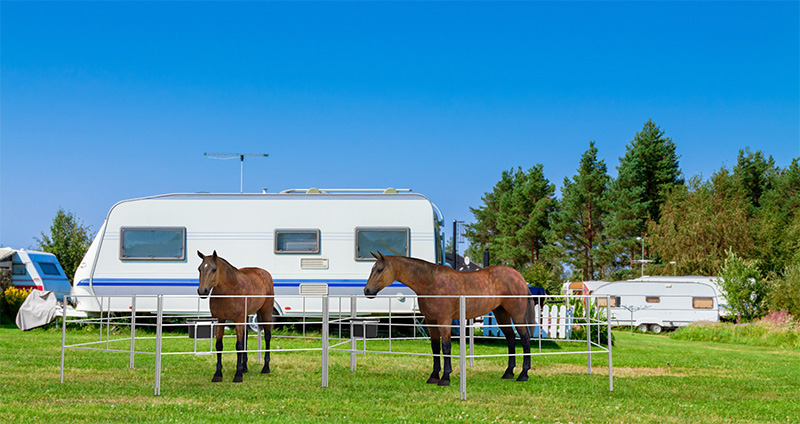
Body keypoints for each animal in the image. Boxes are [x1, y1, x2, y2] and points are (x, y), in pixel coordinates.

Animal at [197, 250, 276, 382]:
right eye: (199, 269)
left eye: (214, 269)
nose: (202, 291)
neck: (229, 292)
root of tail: (265, 274)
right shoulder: (220, 320)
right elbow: (219, 345)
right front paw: (218, 374)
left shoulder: (238, 320)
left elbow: (238, 345)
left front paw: (238, 375)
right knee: (246, 337)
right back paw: (245, 368)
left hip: (266, 312)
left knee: (267, 336)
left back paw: (266, 367)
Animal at [366, 253, 536, 386]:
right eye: (372, 269)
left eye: (379, 269)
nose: (367, 291)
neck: (430, 282)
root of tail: (520, 277)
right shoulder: (430, 321)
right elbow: (435, 347)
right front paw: (434, 376)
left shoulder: (444, 320)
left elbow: (446, 347)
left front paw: (445, 378)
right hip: (501, 314)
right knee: (511, 338)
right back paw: (508, 373)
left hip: (517, 315)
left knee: (525, 339)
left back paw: (523, 375)